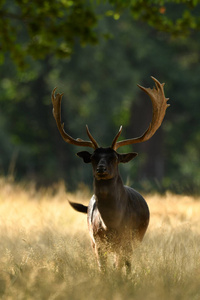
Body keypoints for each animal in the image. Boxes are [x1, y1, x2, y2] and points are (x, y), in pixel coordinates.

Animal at [51, 77, 169, 272]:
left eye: (115, 158)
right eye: (93, 158)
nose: (101, 169)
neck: (112, 224)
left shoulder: (127, 241)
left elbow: (123, 269)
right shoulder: (98, 243)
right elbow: (104, 271)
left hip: (134, 241)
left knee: (123, 264)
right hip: (94, 241)